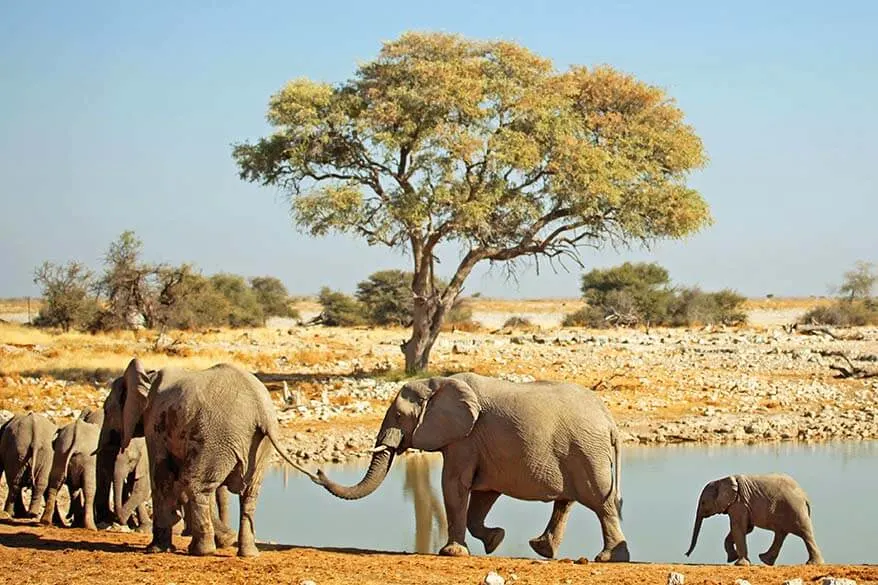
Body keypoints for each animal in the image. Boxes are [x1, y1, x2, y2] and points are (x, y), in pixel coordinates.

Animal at [117, 356, 320, 556]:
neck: (149, 375)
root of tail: (262, 409)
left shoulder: (155, 424)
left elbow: (161, 476)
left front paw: (156, 549)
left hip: (217, 435)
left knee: (197, 486)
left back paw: (202, 551)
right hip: (253, 443)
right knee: (249, 492)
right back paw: (247, 553)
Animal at [312, 372, 628, 560]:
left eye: (399, 416)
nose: (317, 472)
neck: (436, 382)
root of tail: (609, 420)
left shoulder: (465, 439)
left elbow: (454, 485)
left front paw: (451, 553)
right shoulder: (480, 446)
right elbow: (482, 496)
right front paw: (495, 541)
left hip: (586, 451)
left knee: (600, 502)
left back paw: (608, 559)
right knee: (568, 501)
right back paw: (543, 550)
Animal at [688, 472, 824, 564]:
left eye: (703, 503)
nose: (686, 554)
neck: (722, 480)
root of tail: (805, 497)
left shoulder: (739, 504)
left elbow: (739, 528)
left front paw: (740, 564)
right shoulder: (741, 505)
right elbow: (745, 529)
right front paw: (732, 559)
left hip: (794, 509)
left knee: (804, 533)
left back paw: (813, 563)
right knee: (781, 534)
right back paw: (765, 560)